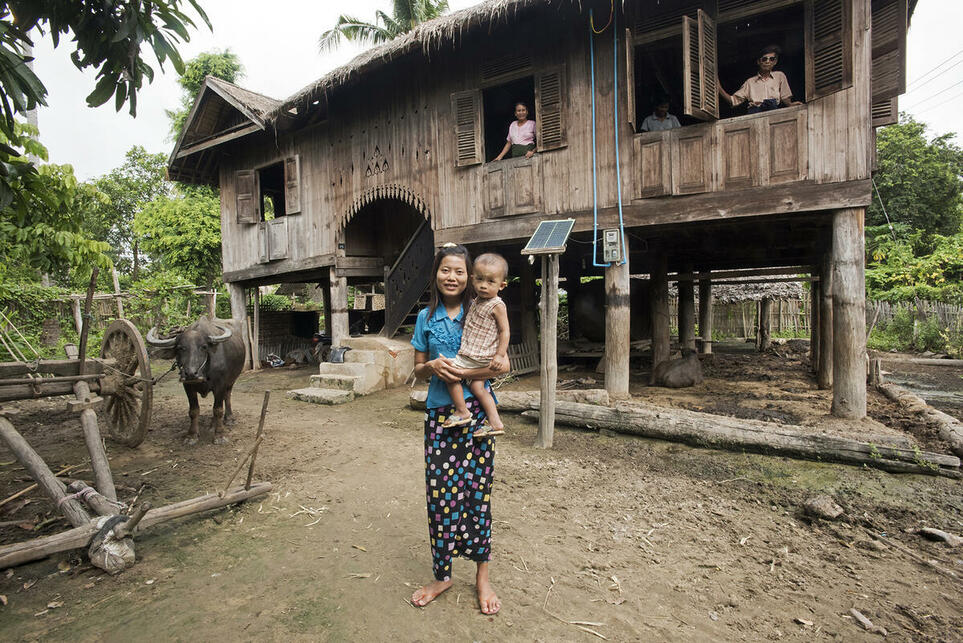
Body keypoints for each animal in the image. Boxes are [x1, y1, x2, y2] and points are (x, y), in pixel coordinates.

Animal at [147, 316, 247, 446]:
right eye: (180, 348)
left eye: (204, 347)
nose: (191, 373)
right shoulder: (188, 386)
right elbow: (194, 411)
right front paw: (192, 435)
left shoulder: (220, 384)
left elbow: (218, 409)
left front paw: (219, 435)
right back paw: (212, 425)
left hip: (231, 380)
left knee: (227, 396)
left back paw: (229, 419)